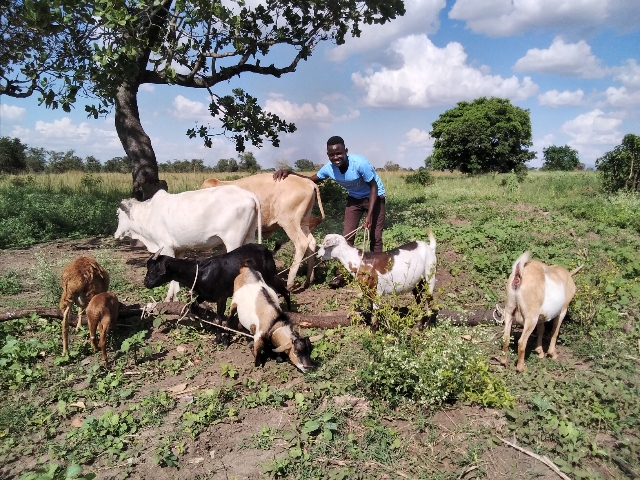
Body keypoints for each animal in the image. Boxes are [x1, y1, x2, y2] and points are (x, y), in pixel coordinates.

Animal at [115, 184, 262, 300]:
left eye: (118, 214)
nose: (116, 235)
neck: (148, 215)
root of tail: (249, 195)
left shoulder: (166, 247)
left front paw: (170, 298)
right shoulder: (179, 250)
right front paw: (175, 295)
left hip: (232, 241)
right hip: (249, 236)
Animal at [145, 244, 290, 344]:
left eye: (154, 269)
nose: (146, 283)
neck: (200, 272)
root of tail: (268, 251)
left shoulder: (221, 296)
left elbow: (219, 318)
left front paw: (220, 339)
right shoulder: (204, 295)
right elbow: (194, 305)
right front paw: (202, 317)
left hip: (268, 277)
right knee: (284, 290)